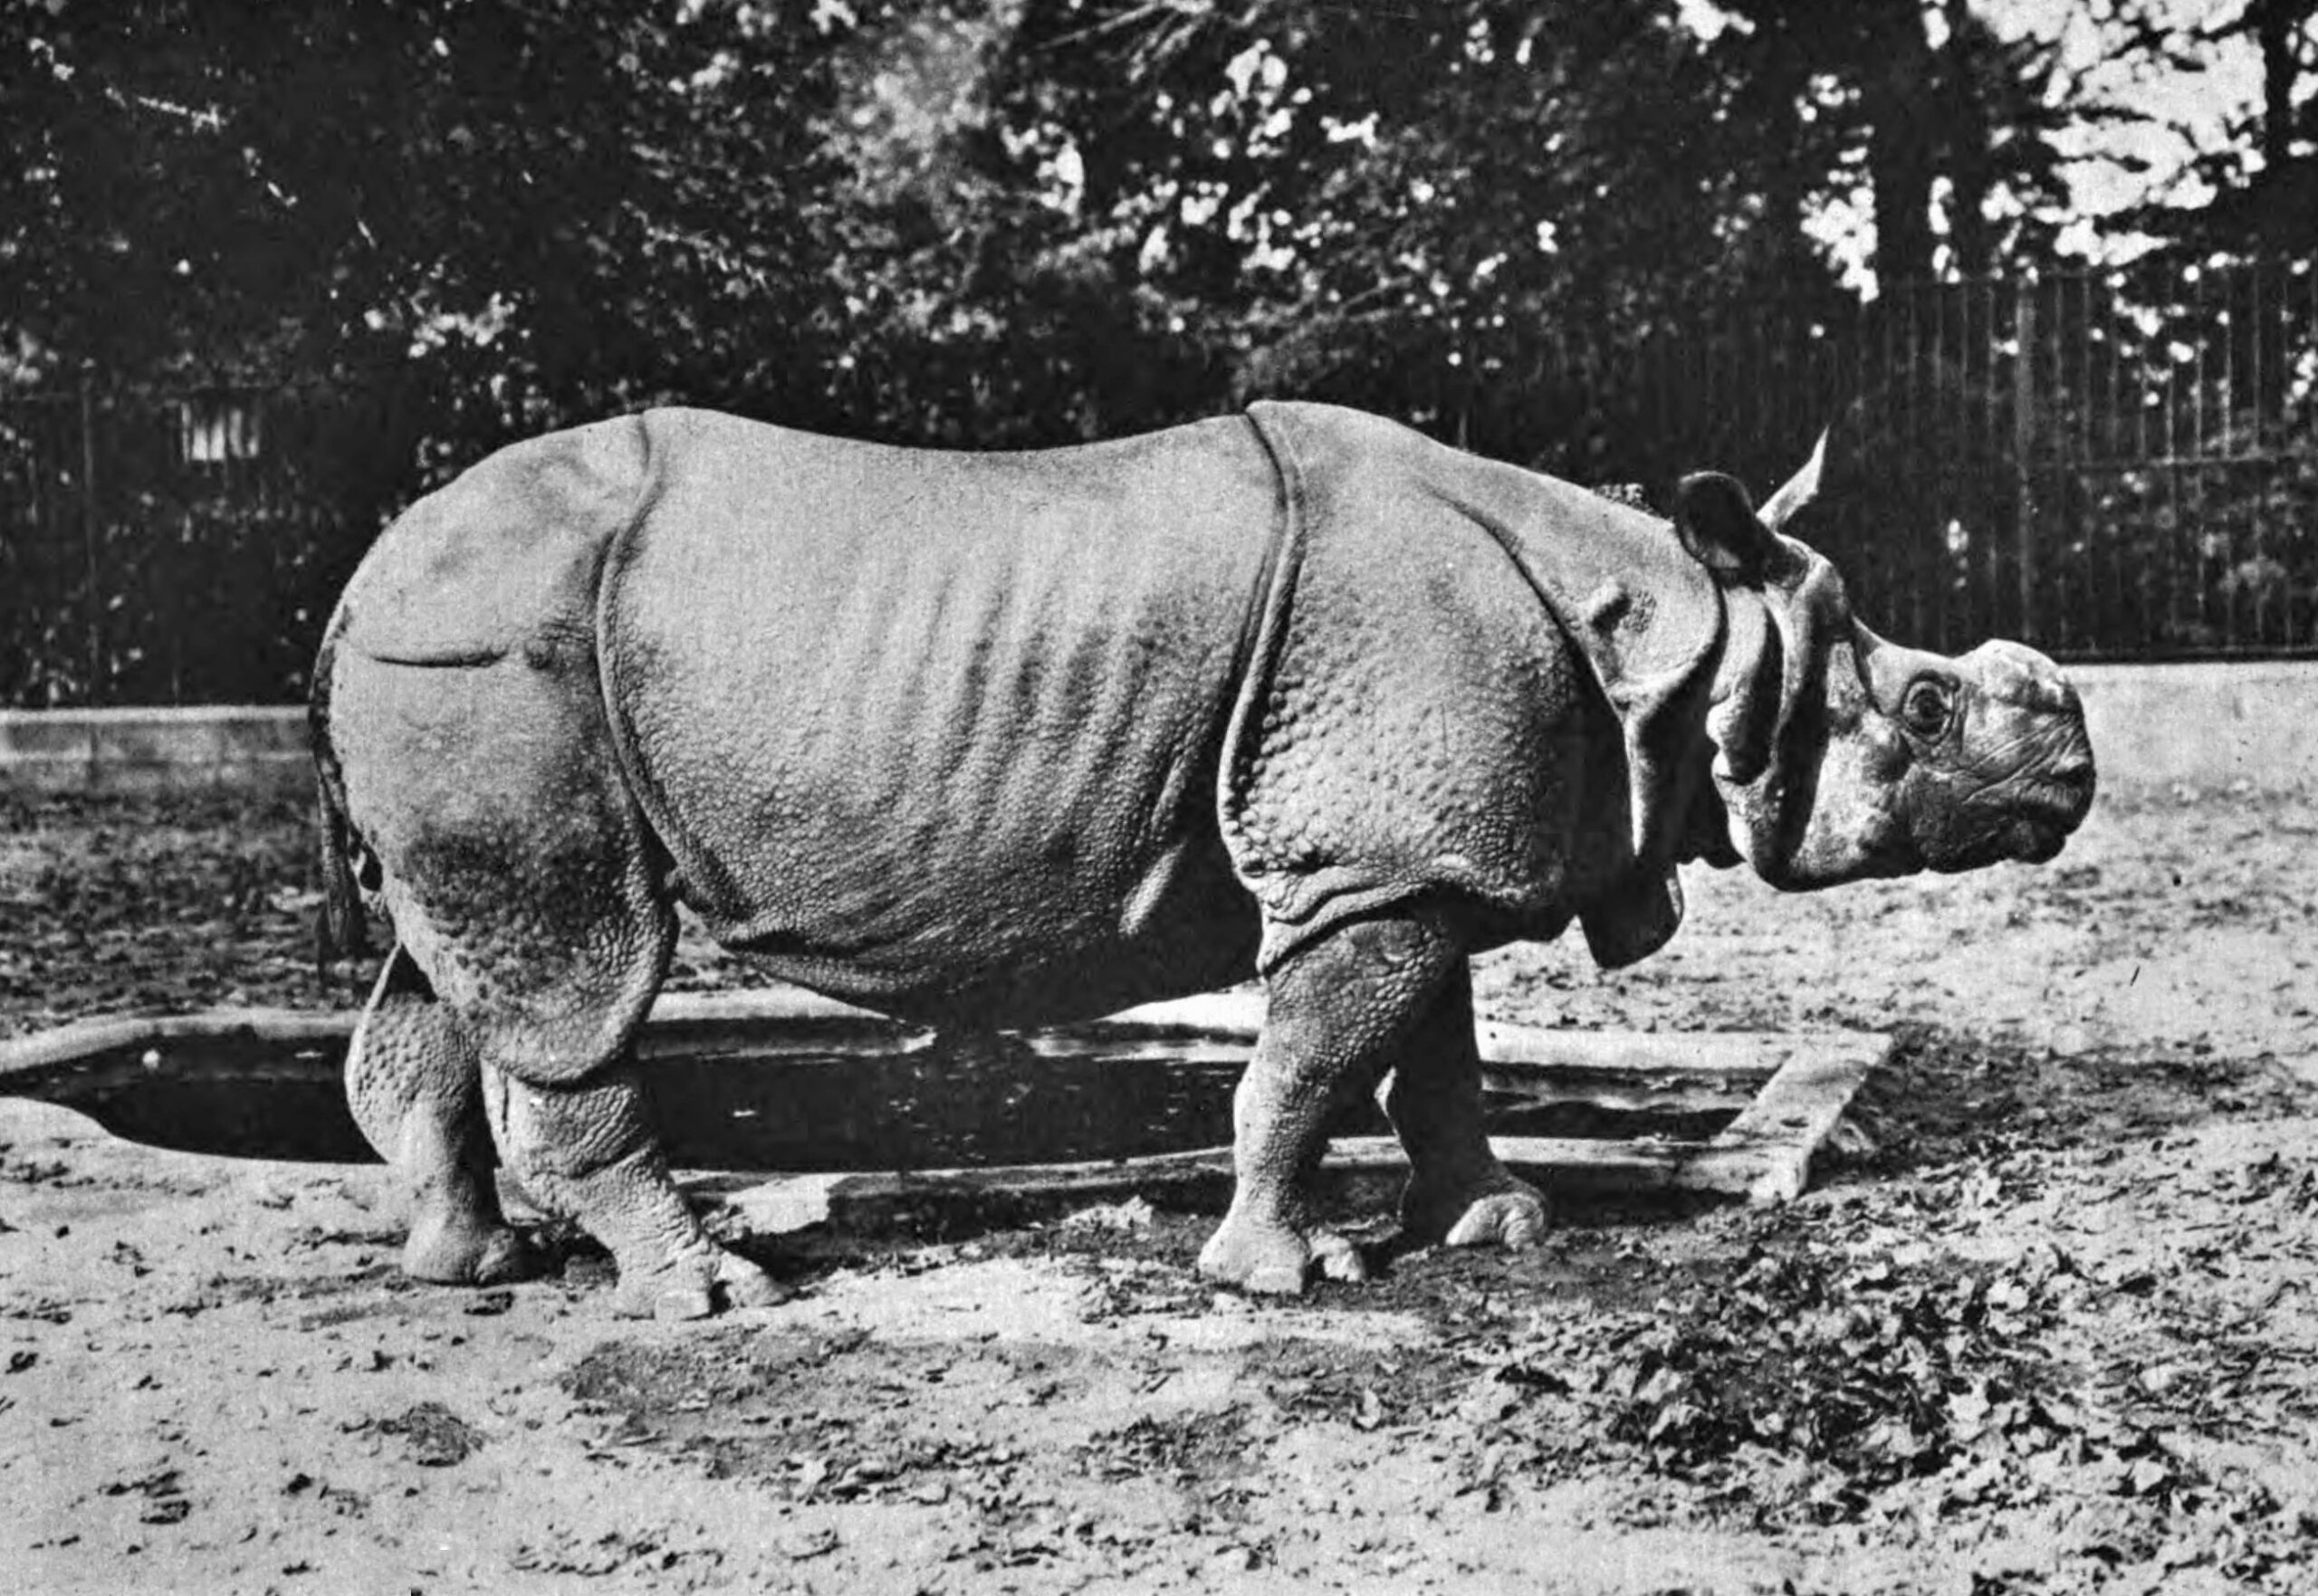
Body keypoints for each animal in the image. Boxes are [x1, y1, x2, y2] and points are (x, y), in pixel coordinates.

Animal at [312, 401, 2095, 1318]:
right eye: (1928, 706)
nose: (2074, 776)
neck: (1674, 627)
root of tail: (357, 578)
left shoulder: (1410, 857)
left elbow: (1430, 1053)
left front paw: (1498, 1225)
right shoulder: (1376, 864)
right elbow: (1313, 1062)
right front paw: (1283, 1277)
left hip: (448, 662)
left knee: (449, 973)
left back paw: (476, 1262)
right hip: (492, 658)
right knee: (581, 970)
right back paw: (707, 1291)